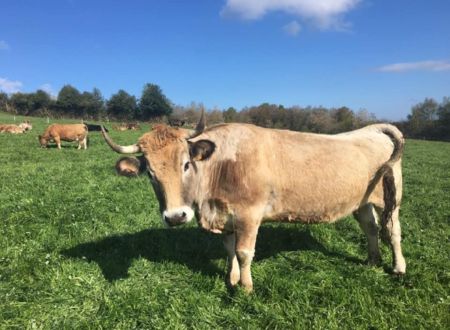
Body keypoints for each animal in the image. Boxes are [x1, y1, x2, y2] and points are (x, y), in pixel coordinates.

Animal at [101, 114, 408, 292]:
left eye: (186, 164)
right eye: (150, 173)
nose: (176, 216)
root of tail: (369, 130)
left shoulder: (249, 215)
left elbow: (244, 252)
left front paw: (246, 287)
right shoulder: (226, 216)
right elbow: (229, 250)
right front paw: (232, 278)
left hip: (391, 198)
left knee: (393, 232)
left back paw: (398, 268)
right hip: (362, 201)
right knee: (370, 228)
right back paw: (372, 260)